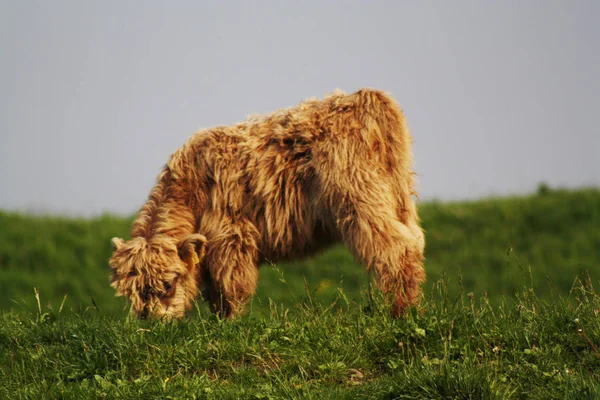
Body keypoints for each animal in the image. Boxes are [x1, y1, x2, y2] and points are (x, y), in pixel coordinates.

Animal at [109, 87, 426, 318]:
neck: (191, 190)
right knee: (414, 242)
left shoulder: (230, 237)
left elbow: (231, 287)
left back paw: (400, 312)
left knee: (397, 250)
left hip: (361, 201)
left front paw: (230, 325)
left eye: (168, 284)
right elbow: (215, 293)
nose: (151, 323)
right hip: (400, 199)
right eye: (132, 292)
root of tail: (366, 97)